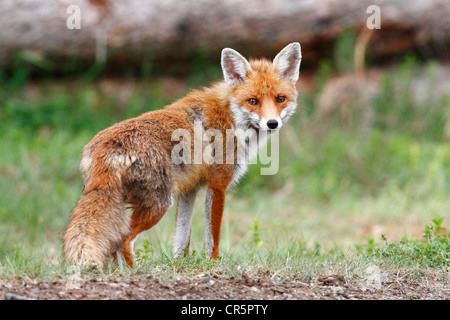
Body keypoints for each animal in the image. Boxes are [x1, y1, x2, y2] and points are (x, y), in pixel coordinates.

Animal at [62, 42, 302, 268]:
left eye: (280, 99)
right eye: (253, 101)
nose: (272, 123)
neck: (231, 116)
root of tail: (107, 147)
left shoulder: (189, 189)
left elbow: (181, 238)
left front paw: (179, 265)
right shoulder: (218, 186)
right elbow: (212, 238)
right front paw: (212, 264)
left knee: (113, 241)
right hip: (159, 204)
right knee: (124, 239)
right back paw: (134, 271)